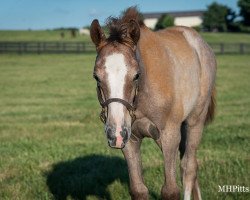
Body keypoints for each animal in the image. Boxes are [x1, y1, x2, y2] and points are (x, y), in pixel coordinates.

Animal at [90, 6, 217, 200]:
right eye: (96, 76)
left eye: (136, 75)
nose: (115, 133)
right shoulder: (131, 139)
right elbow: (139, 190)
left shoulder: (169, 136)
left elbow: (170, 190)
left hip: (195, 121)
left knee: (189, 167)